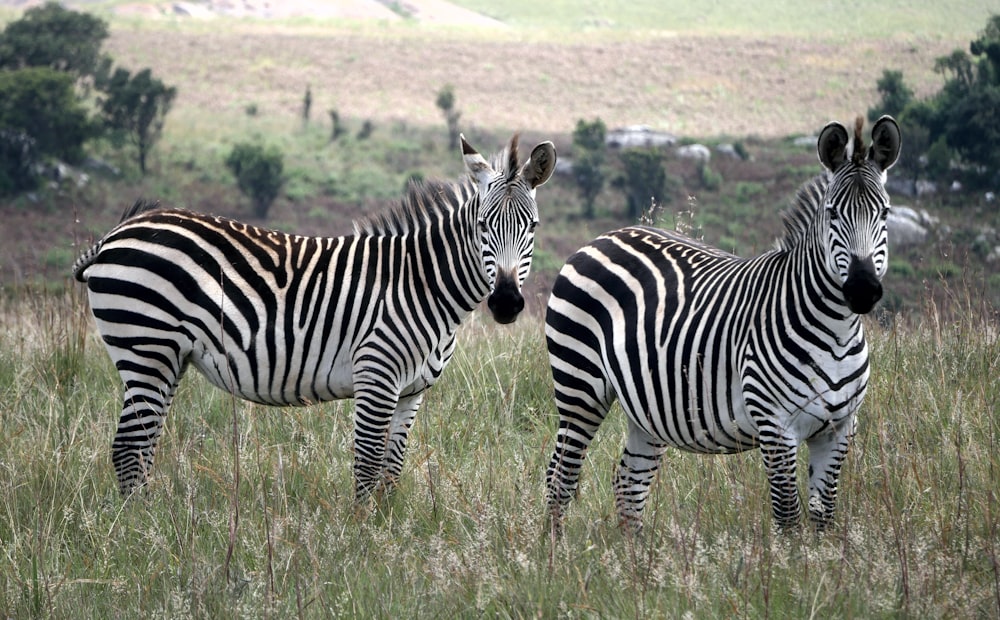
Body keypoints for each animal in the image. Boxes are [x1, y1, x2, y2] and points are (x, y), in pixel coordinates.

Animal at [74, 134, 560, 504]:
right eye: (482, 226)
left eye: (533, 227)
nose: (507, 303)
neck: (423, 285)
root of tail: (117, 232)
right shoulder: (376, 376)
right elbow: (367, 466)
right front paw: (361, 545)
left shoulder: (412, 392)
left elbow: (391, 470)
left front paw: (387, 536)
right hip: (146, 348)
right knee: (129, 448)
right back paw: (142, 528)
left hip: (166, 358)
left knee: (142, 444)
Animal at [544, 118, 904, 536]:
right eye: (832, 214)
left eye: (885, 213)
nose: (862, 290)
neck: (836, 332)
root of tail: (603, 236)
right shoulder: (775, 426)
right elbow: (788, 517)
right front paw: (790, 557)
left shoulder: (839, 428)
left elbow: (823, 517)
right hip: (580, 385)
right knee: (560, 475)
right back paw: (555, 551)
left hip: (645, 406)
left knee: (628, 483)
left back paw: (630, 555)